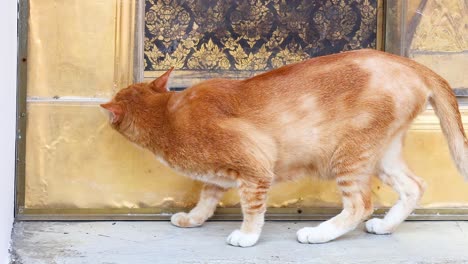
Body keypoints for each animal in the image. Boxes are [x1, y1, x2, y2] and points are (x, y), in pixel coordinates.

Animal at [100, 49, 466, 248]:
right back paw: (386, 226)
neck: (169, 114)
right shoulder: (220, 175)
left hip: (348, 156)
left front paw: (246, 236)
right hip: (381, 154)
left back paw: (318, 234)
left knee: (360, 204)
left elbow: (252, 208)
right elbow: (206, 198)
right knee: (414, 186)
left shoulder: (255, 167)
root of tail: (409, 64)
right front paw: (193, 219)